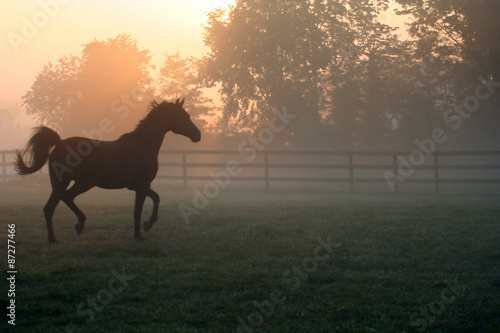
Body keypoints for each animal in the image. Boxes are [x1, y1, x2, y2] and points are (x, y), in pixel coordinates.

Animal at [14, 97, 200, 243]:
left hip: (60, 183)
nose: (198, 135)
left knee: (49, 208)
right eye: (185, 116)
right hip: (84, 182)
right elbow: (139, 211)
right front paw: (140, 233)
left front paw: (147, 225)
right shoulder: (142, 186)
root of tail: (59, 143)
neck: (143, 145)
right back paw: (79, 225)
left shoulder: (139, 186)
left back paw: (53, 239)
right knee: (66, 198)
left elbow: (155, 199)